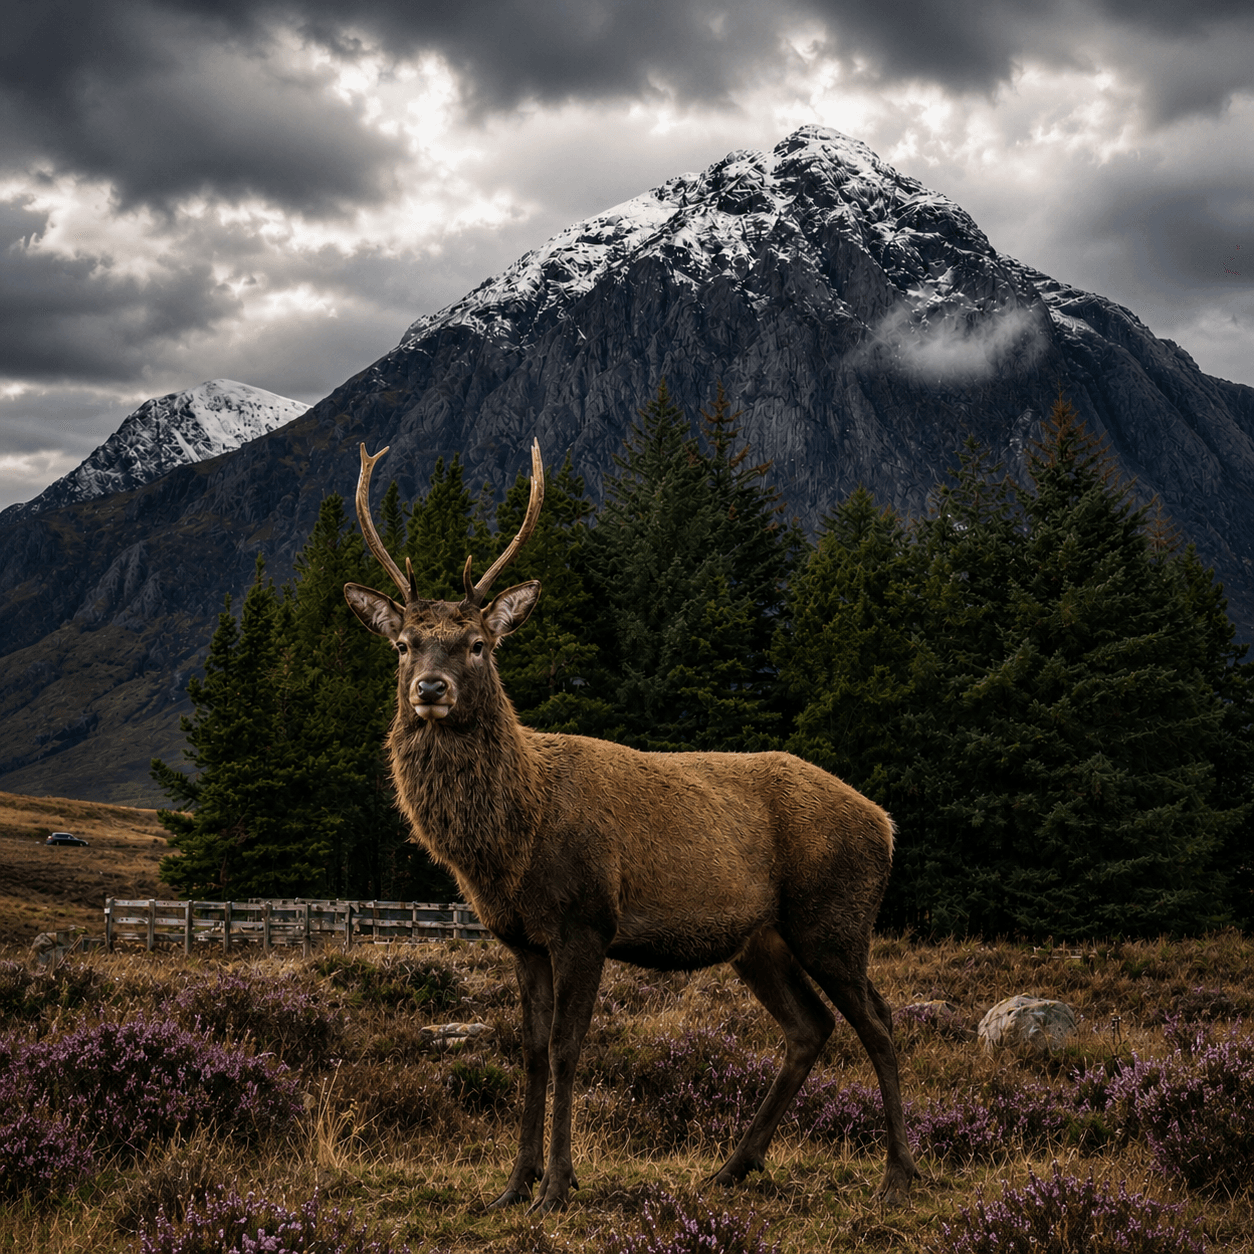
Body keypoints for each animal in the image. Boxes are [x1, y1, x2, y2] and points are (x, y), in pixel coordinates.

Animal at [343, 439, 916, 1215]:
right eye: (403, 644)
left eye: (477, 644)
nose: (431, 690)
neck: (511, 842)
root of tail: (884, 823)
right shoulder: (520, 939)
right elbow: (529, 1050)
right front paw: (513, 1185)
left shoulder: (587, 919)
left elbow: (567, 1048)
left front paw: (558, 1185)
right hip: (760, 939)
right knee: (810, 1026)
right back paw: (732, 1166)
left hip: (835, 917)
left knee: (878, 1022)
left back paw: (898, 1173)